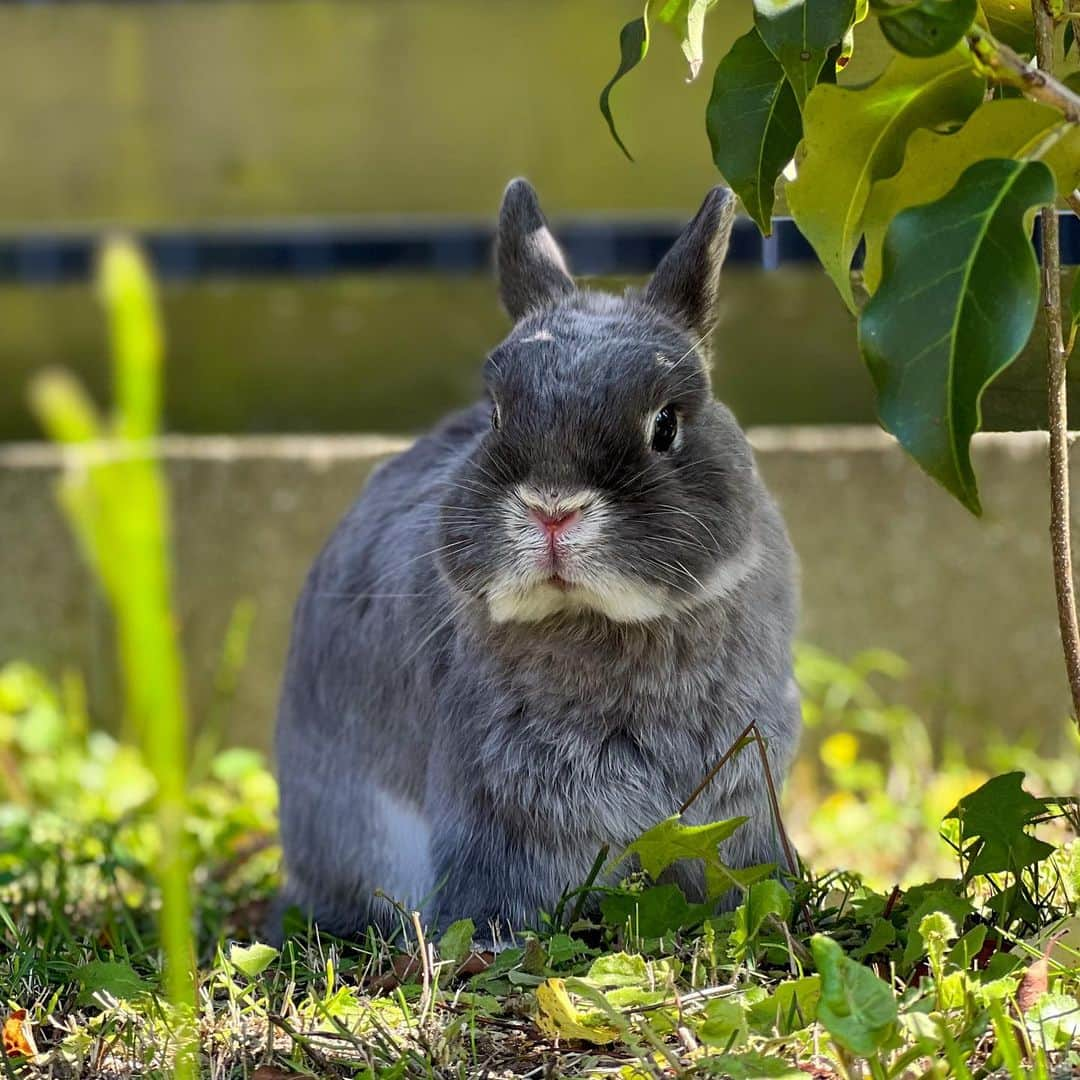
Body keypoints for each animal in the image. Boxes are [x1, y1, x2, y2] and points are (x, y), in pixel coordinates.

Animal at [272, 179, 803, 946]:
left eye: (665, 425)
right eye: (496, 415)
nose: (553, 508)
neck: (602, 623)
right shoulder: (501, 810)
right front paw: (497, 942)